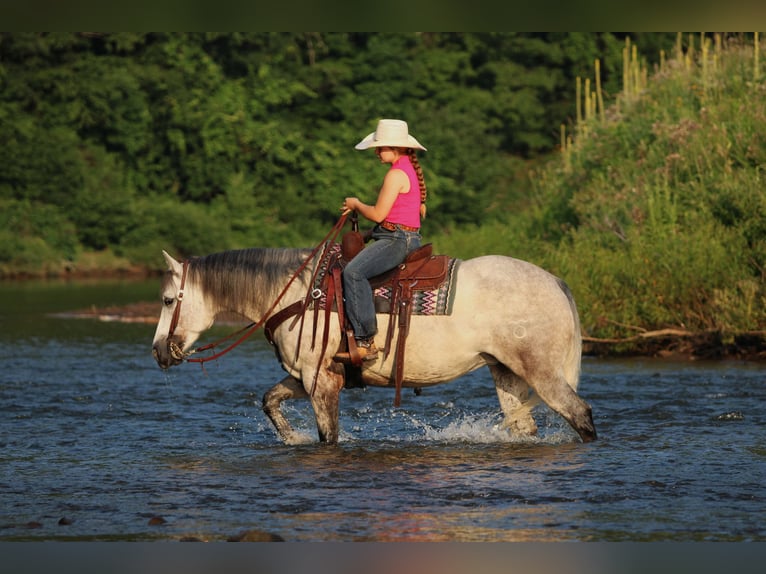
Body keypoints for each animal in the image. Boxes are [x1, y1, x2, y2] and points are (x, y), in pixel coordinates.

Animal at [151, 246, 597, 445]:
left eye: (168, 300)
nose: (157, 351)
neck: (300, 296)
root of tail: (555, 282)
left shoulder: (320, 381)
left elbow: (328, 435)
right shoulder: (309, 375)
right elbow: (269, 399)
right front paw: (291, 438)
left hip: (541, 371)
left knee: (579, 414)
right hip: (506, 372)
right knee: (525, 426)